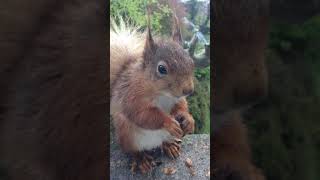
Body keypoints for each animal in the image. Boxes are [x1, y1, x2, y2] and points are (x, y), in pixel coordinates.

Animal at [110, 17, 195, 174]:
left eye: (191, 61)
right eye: (161, 69)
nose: (188, 90)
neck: (163, 94)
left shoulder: (177, 99)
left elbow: (181, 106)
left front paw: (188, 119)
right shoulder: (132, 97)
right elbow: (143, 115)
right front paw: (169, 123)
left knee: (162, 142)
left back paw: (169, 145)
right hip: (127, 134)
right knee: (131, 151)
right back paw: (141, 159)